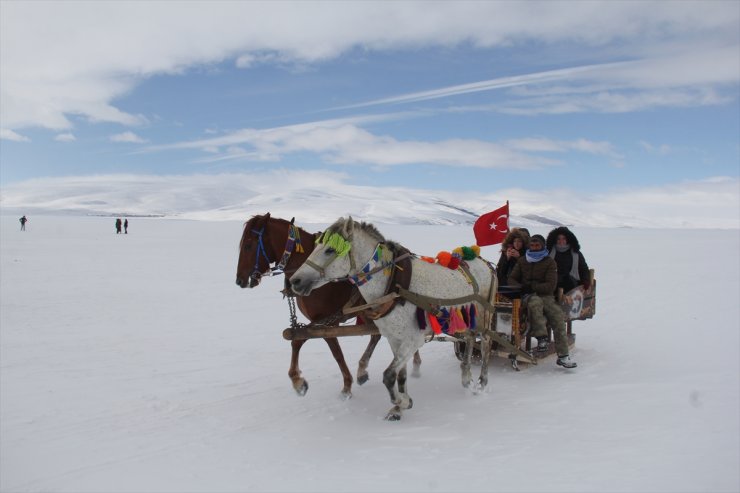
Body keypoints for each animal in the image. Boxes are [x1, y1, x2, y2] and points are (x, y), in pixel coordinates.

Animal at [236, 211, 394, 396]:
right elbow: (296, 340)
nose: (239, 280)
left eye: (248, 245)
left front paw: (345, 385)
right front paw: (298, 381)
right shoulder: (320, 322)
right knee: (377, 335)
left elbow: (333, 352)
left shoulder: (327, 322)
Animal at [290, 215, 498, 418]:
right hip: (467, 320)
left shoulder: (413, 339)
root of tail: (485, 263)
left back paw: (482, 381)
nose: (295, 281)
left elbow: (389, 375)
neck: (393, 285)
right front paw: (400, 407)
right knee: (470, 338)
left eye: (330, 250)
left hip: (484, 317)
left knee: (486, 343)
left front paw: (402, 402)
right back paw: (466, 377)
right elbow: (400, 375)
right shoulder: (394, 338)